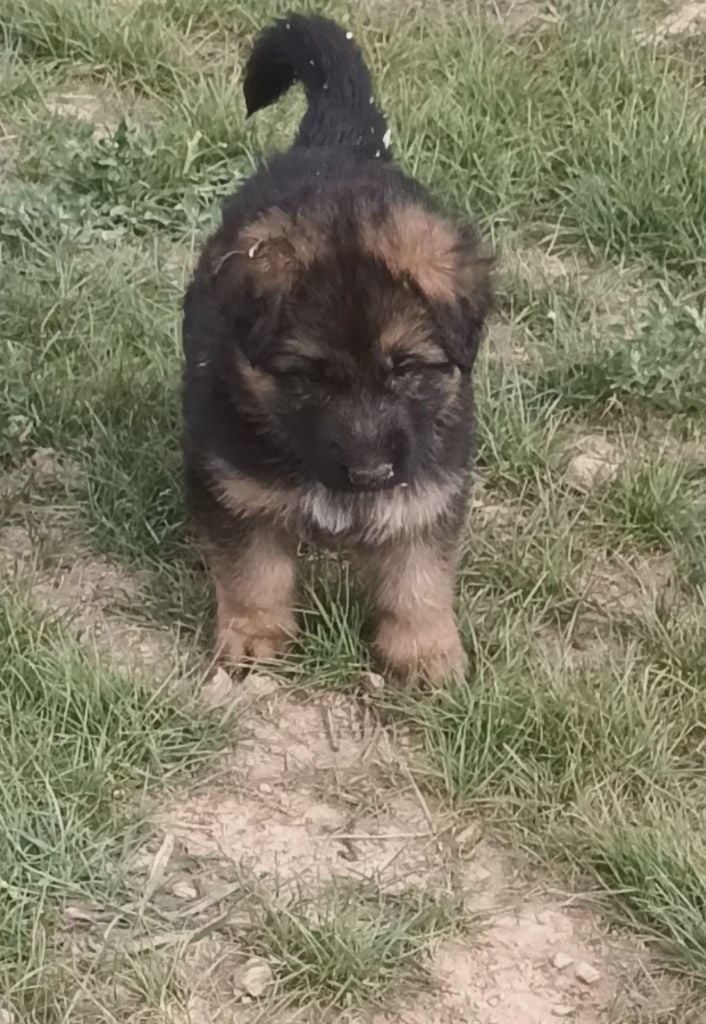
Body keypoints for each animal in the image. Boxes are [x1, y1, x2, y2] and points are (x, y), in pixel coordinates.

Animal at [181, 12, 489, 684]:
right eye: (311, 377)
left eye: (406, 370)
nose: (370, 474)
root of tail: (337, 143)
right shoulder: (234, 484)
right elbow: (253, 569)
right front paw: (254, 634)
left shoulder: (429, 485)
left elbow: (418, 574)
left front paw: (425, 650)